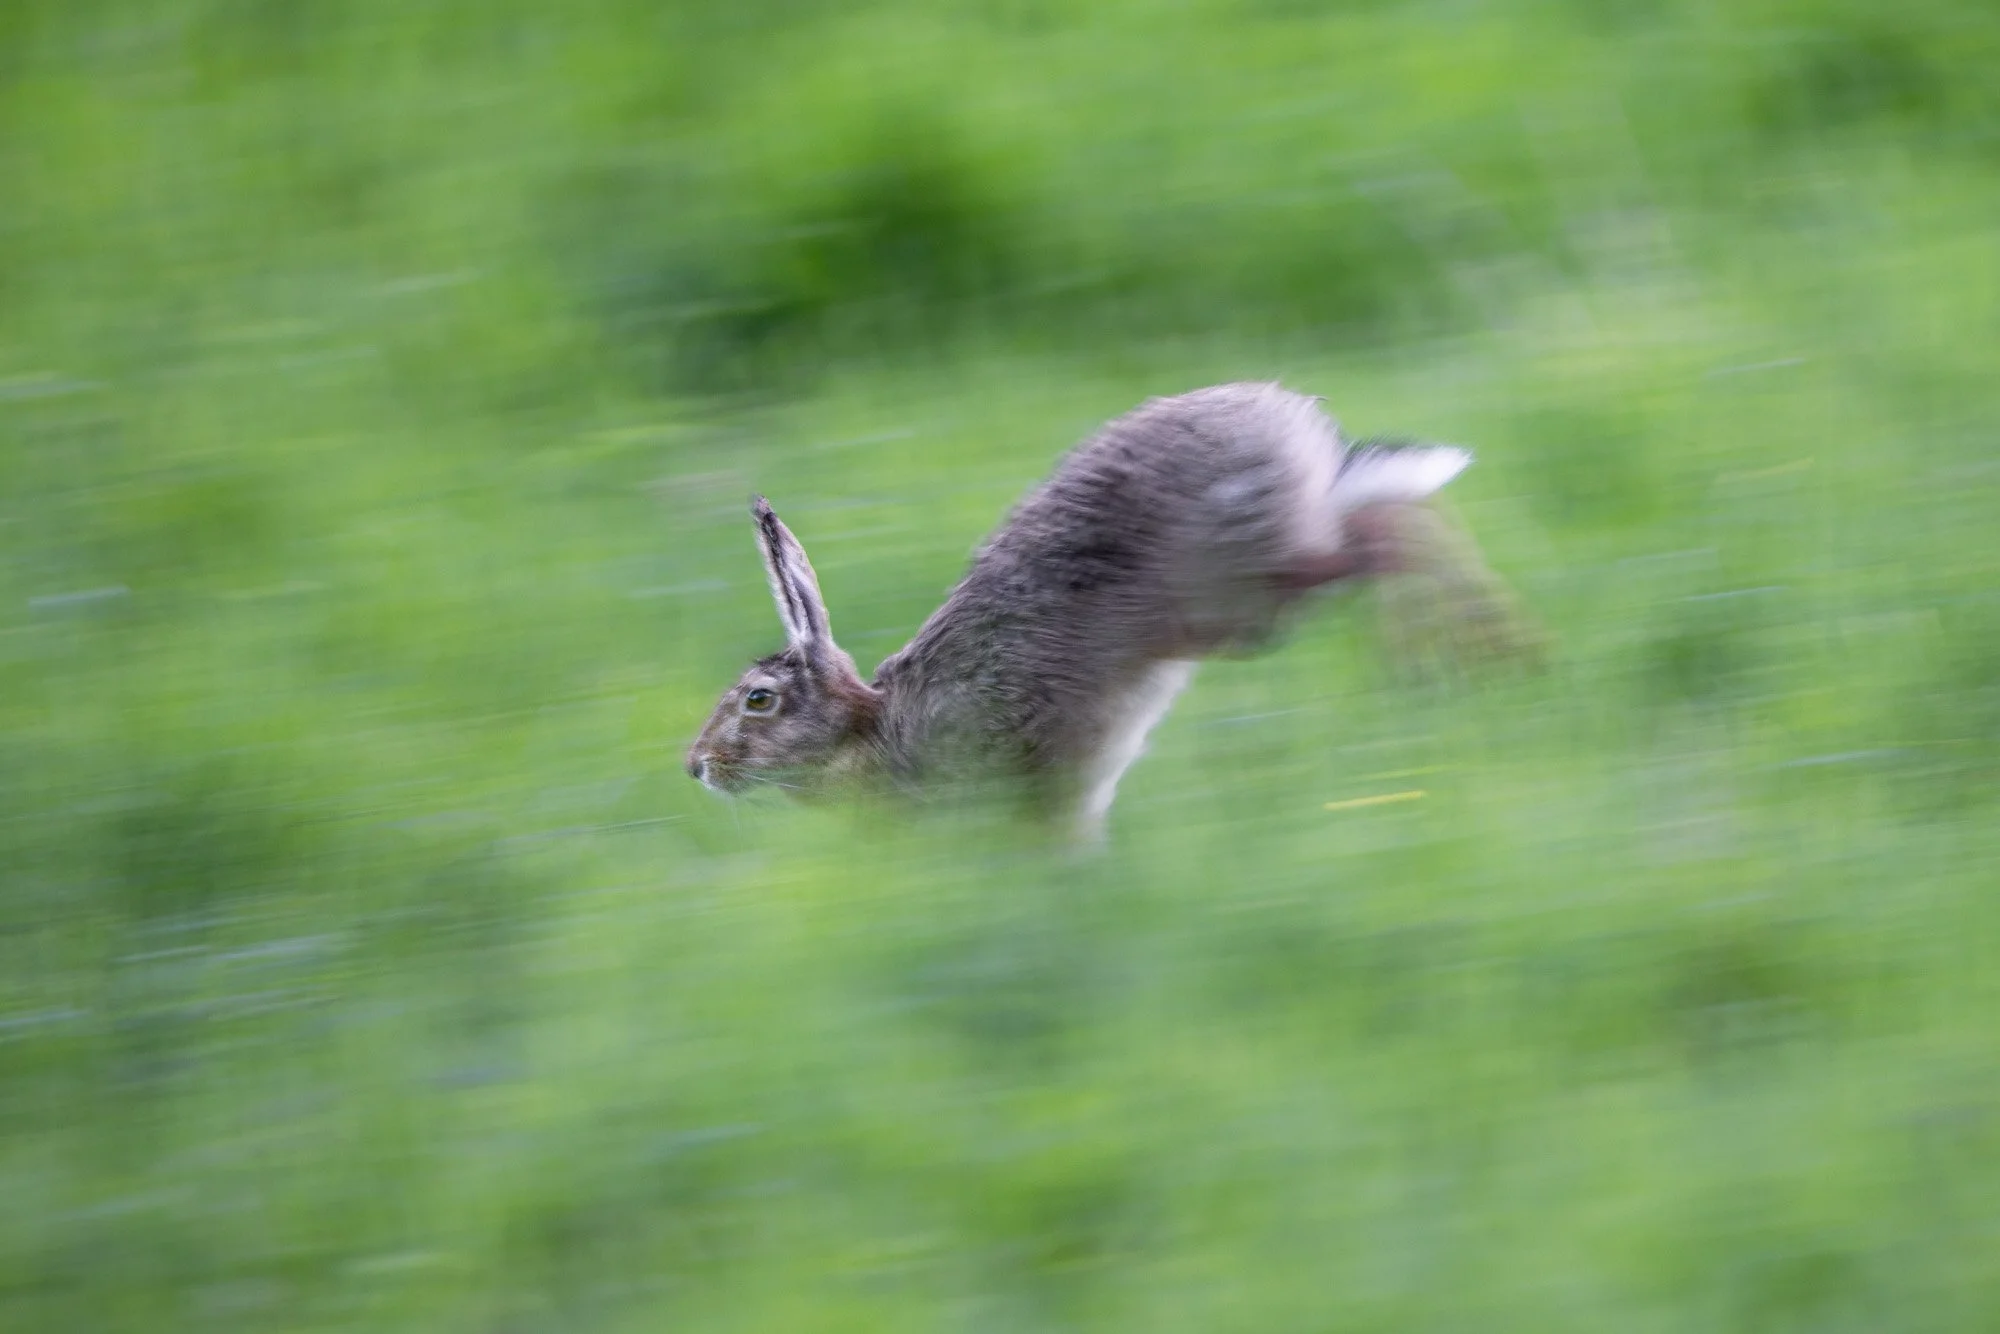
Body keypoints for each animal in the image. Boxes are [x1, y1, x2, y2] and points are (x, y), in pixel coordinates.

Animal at [686, 381, 1504, 839]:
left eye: (758, 700)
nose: (695, 766)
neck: (867, 732)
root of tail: (1289, 420)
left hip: (1241, 592)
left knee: (1387, 535)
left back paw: (1466, 656)